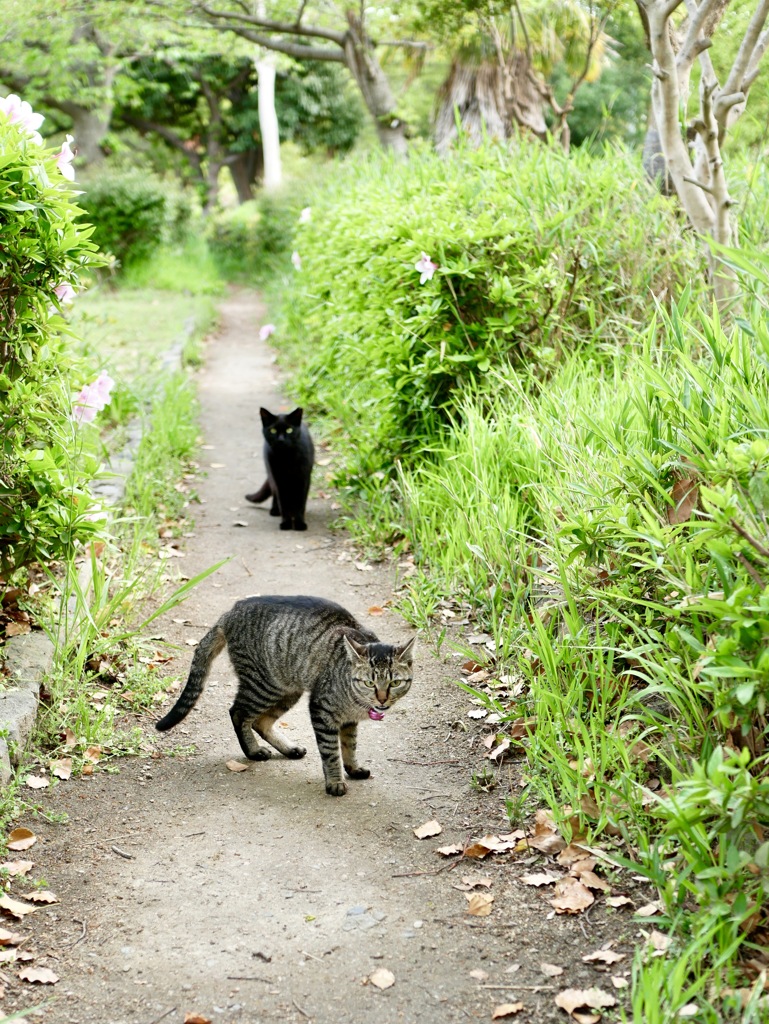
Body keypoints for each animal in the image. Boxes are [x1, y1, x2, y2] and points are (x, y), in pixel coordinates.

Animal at [154, 598, 415, 794]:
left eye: (395, 682)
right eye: (370, 682)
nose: (382, 699)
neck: (356, 702)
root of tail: (231, 612)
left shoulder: (348, 720)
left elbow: (349, 745)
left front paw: (353, 768)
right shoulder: (322, 709)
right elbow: (331, 751)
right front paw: (334, 781)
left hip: (288, 690)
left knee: (260, 722)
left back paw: (288, 749)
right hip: (264, 685)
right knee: (238, 713)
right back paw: (253, 751)